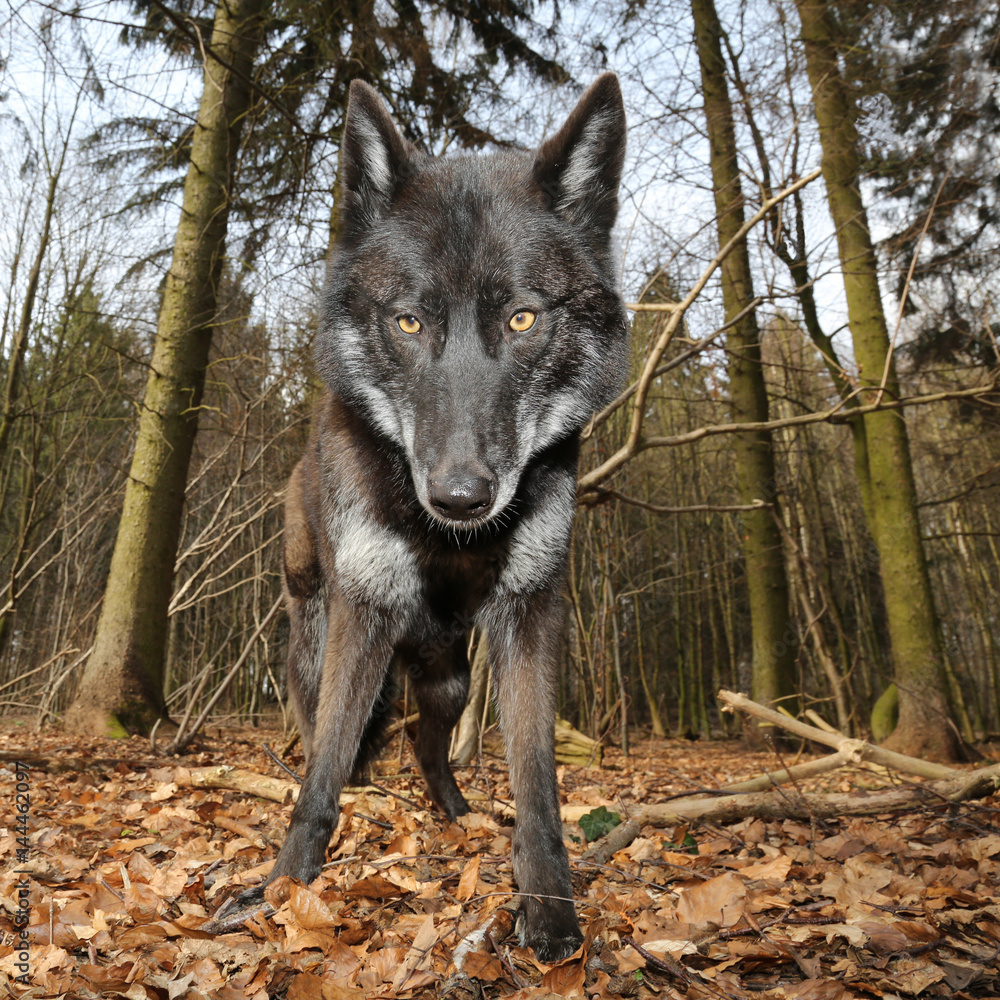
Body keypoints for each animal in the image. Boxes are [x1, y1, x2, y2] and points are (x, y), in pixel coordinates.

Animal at [241, 74, 624, 964]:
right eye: (409, 321)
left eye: (522, 318)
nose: (459, 496)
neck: (446, 544)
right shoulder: (365, 612)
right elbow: (320, 775)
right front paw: (283, 888)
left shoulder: (532, 615)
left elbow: (539, 782)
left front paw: (549, 912)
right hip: (320, 638)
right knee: (330, 733)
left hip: (450, 675)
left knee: (424, 741)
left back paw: (454, 814)